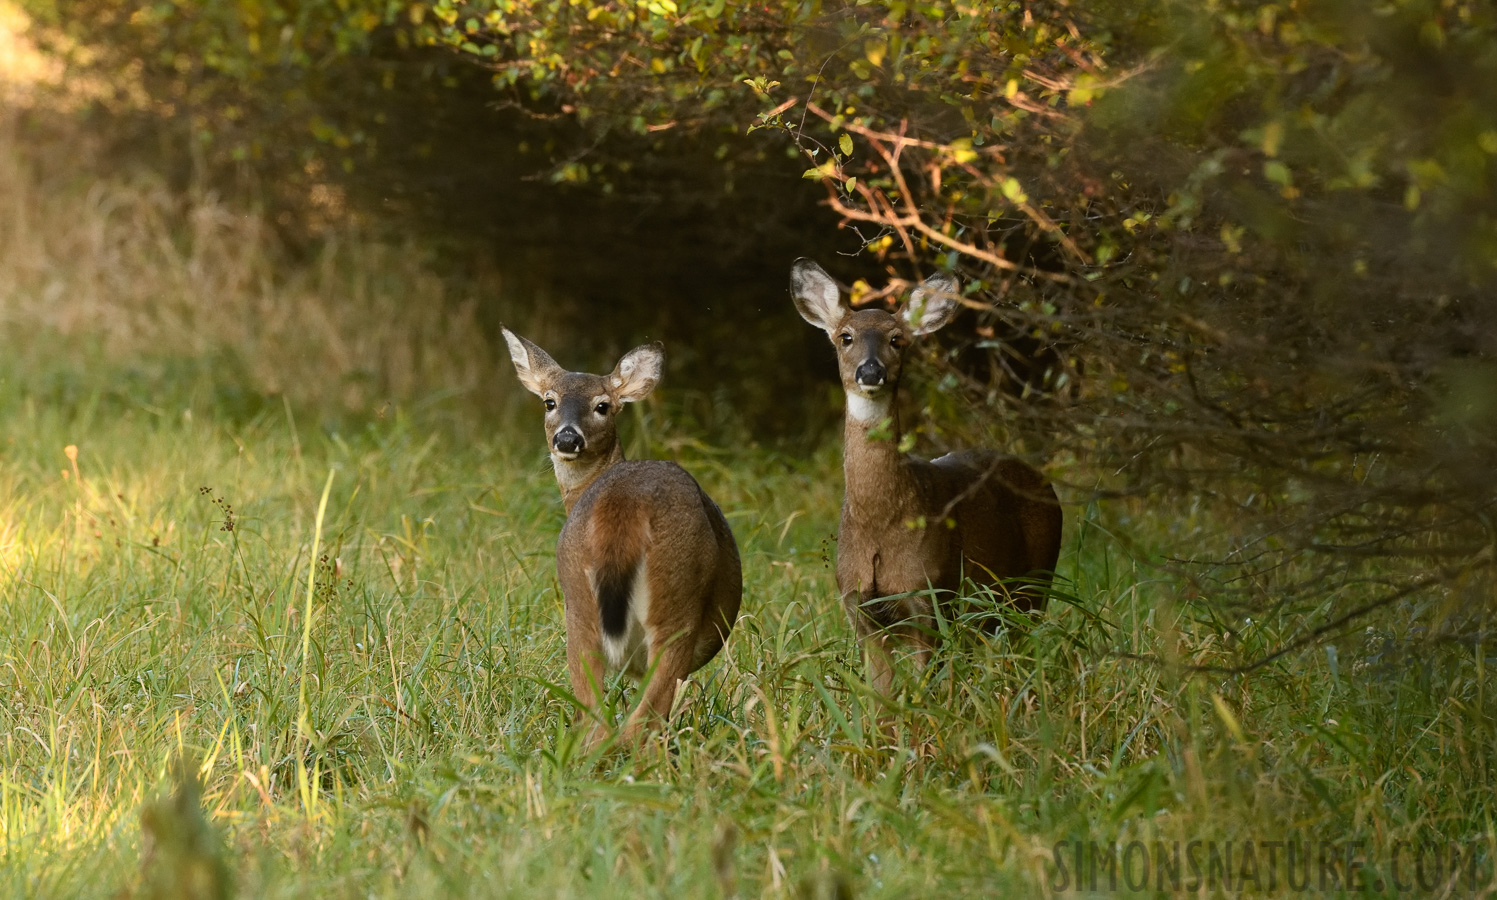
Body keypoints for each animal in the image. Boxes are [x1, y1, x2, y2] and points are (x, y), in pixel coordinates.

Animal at [499, 326, 739, 748]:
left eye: (602, 406)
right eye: (549, 401)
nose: (567, 438)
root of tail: (624, 503)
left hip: (577, 599)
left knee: (599, 720)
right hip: (677, 600)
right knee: (638, 725)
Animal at [784, 259, 1065, 694]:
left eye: (897, 339)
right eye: (846, 337)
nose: (871, 370)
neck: (880, 525)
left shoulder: (932, 598)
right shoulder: (859, 610)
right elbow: (881, 699)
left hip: (1035, 582)